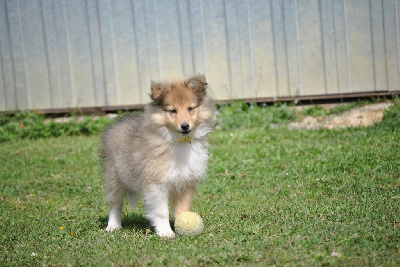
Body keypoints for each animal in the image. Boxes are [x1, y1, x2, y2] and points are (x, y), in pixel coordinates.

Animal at [103, 74, 216, 238]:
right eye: (173, 111)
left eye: (190, 108)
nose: (185, 126)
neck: (178, 142)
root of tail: (118, 123)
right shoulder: (156, 183)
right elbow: (161, 211)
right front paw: (165, 232)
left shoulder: (186, 182)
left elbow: (183, 209)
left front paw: (182, 224)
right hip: (115, 177)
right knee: (115, 204)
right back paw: (113, 226)